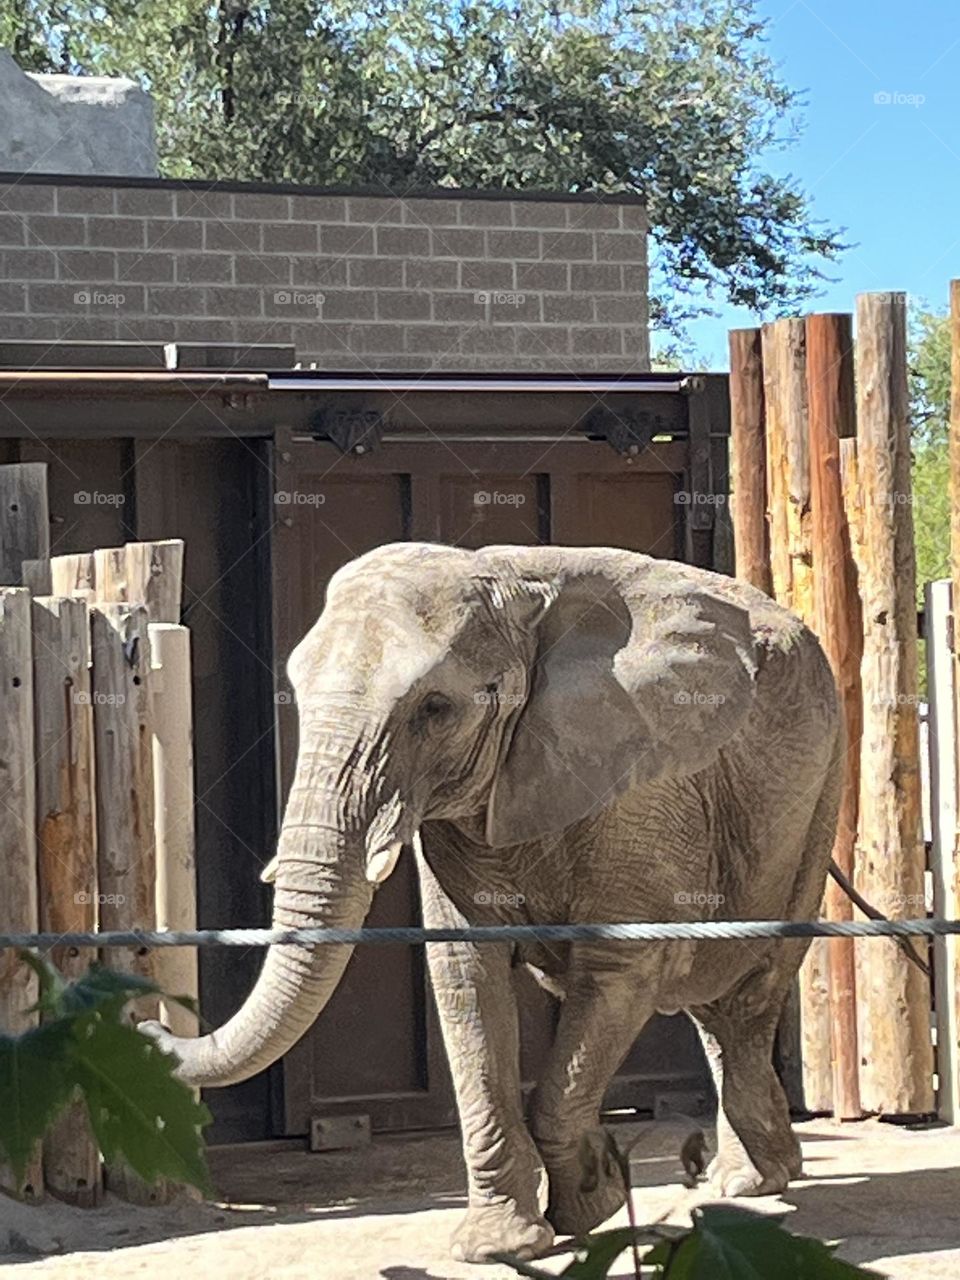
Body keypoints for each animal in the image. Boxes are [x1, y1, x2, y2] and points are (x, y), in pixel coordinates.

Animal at [144, 541, 841, 1263]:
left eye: (435, 708)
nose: (151, 1024)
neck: (514, 584)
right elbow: (465, 976)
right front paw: (499, 1246)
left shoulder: (641, 786)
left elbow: (618, 971)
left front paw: (592, 1201)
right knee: (713, 1003)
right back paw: (753, 1178)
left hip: (816, 790)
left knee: (746, 992)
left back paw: (749, 1182)